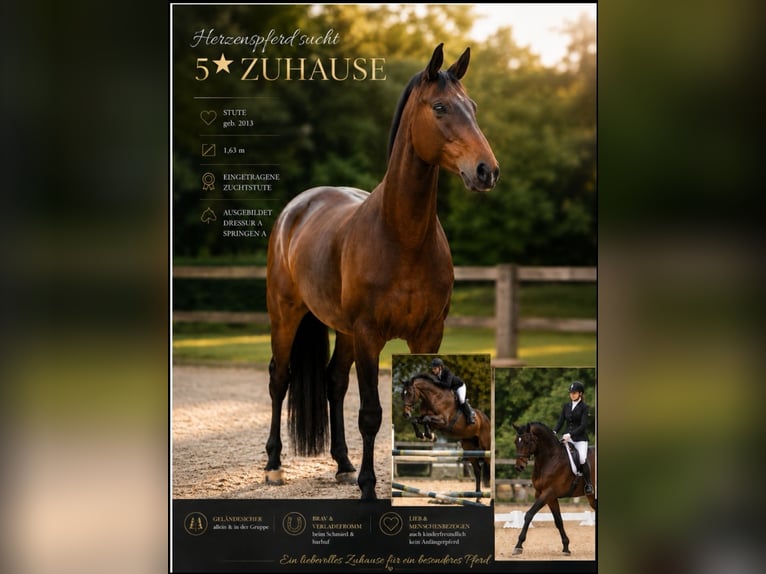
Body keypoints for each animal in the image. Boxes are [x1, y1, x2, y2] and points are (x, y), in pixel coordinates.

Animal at [264, 43, 499, 501]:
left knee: (333, 382)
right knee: (279, 380)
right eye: (440, 107)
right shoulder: (370, 334)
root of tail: (295, 209)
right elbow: (371, 414)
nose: (487, 171)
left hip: (344, 332)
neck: (401, 237)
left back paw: (342, 464)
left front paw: (363, 478)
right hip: (286, 316)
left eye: (474, 107)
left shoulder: (426, 333)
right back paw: (273, 465)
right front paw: (371, 489)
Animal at [511, 422, 597, 556]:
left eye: (527, 442)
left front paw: (518, 546)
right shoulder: (548, 496)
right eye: (516, 441)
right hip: (592, 497)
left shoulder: (548, 493)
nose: (519, 467)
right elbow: (558, 521)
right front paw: (566, 547)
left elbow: (529, 515)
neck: (550, 458)